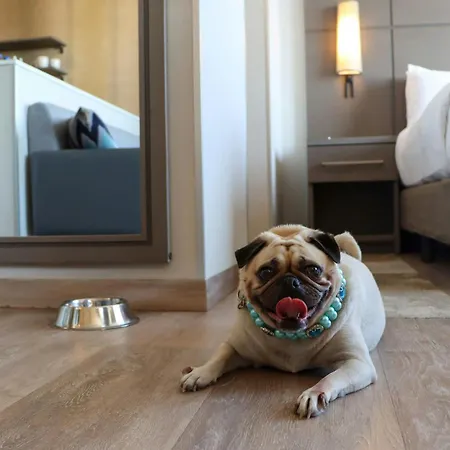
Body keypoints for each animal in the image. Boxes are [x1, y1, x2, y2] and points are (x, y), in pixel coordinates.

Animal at [180, 224, 386, 419]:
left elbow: (330, 378)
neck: (292, 336)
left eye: (313, 270)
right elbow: (220, 356)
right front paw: (200, 373)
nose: (290, 281)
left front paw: (314, 394)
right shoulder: (235, 347)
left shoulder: (357, 362)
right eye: (266, 272)